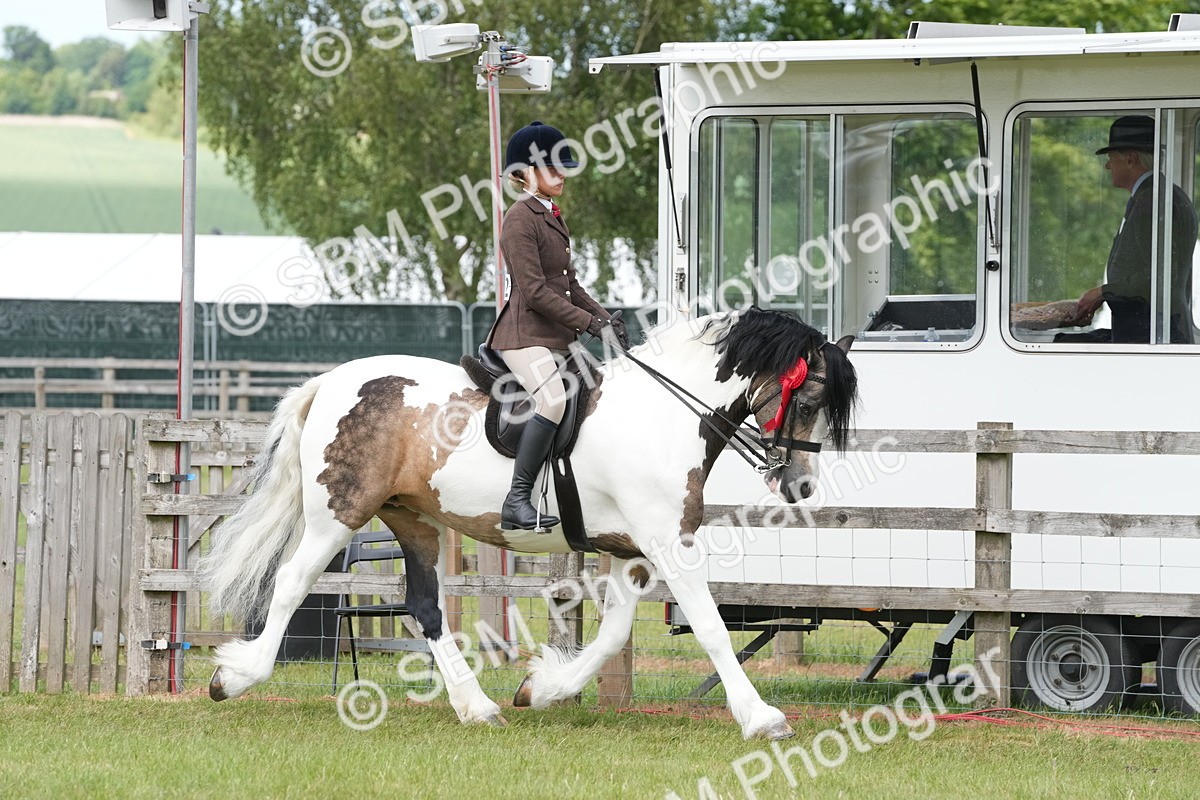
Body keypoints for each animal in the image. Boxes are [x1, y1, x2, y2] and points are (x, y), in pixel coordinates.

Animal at [197, 306, 858, 740]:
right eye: (806, 399)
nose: (800, 487)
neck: (662, 416)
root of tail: (332, 380)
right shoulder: (668, 544)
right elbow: (713, 629)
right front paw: (762, 718)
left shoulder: (632, 553)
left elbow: (613, 635)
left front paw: (541, 690)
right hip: (340, 513)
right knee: (290, 583)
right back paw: (235, 678)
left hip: (414, 519)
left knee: (426, 606)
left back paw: (476, 706)